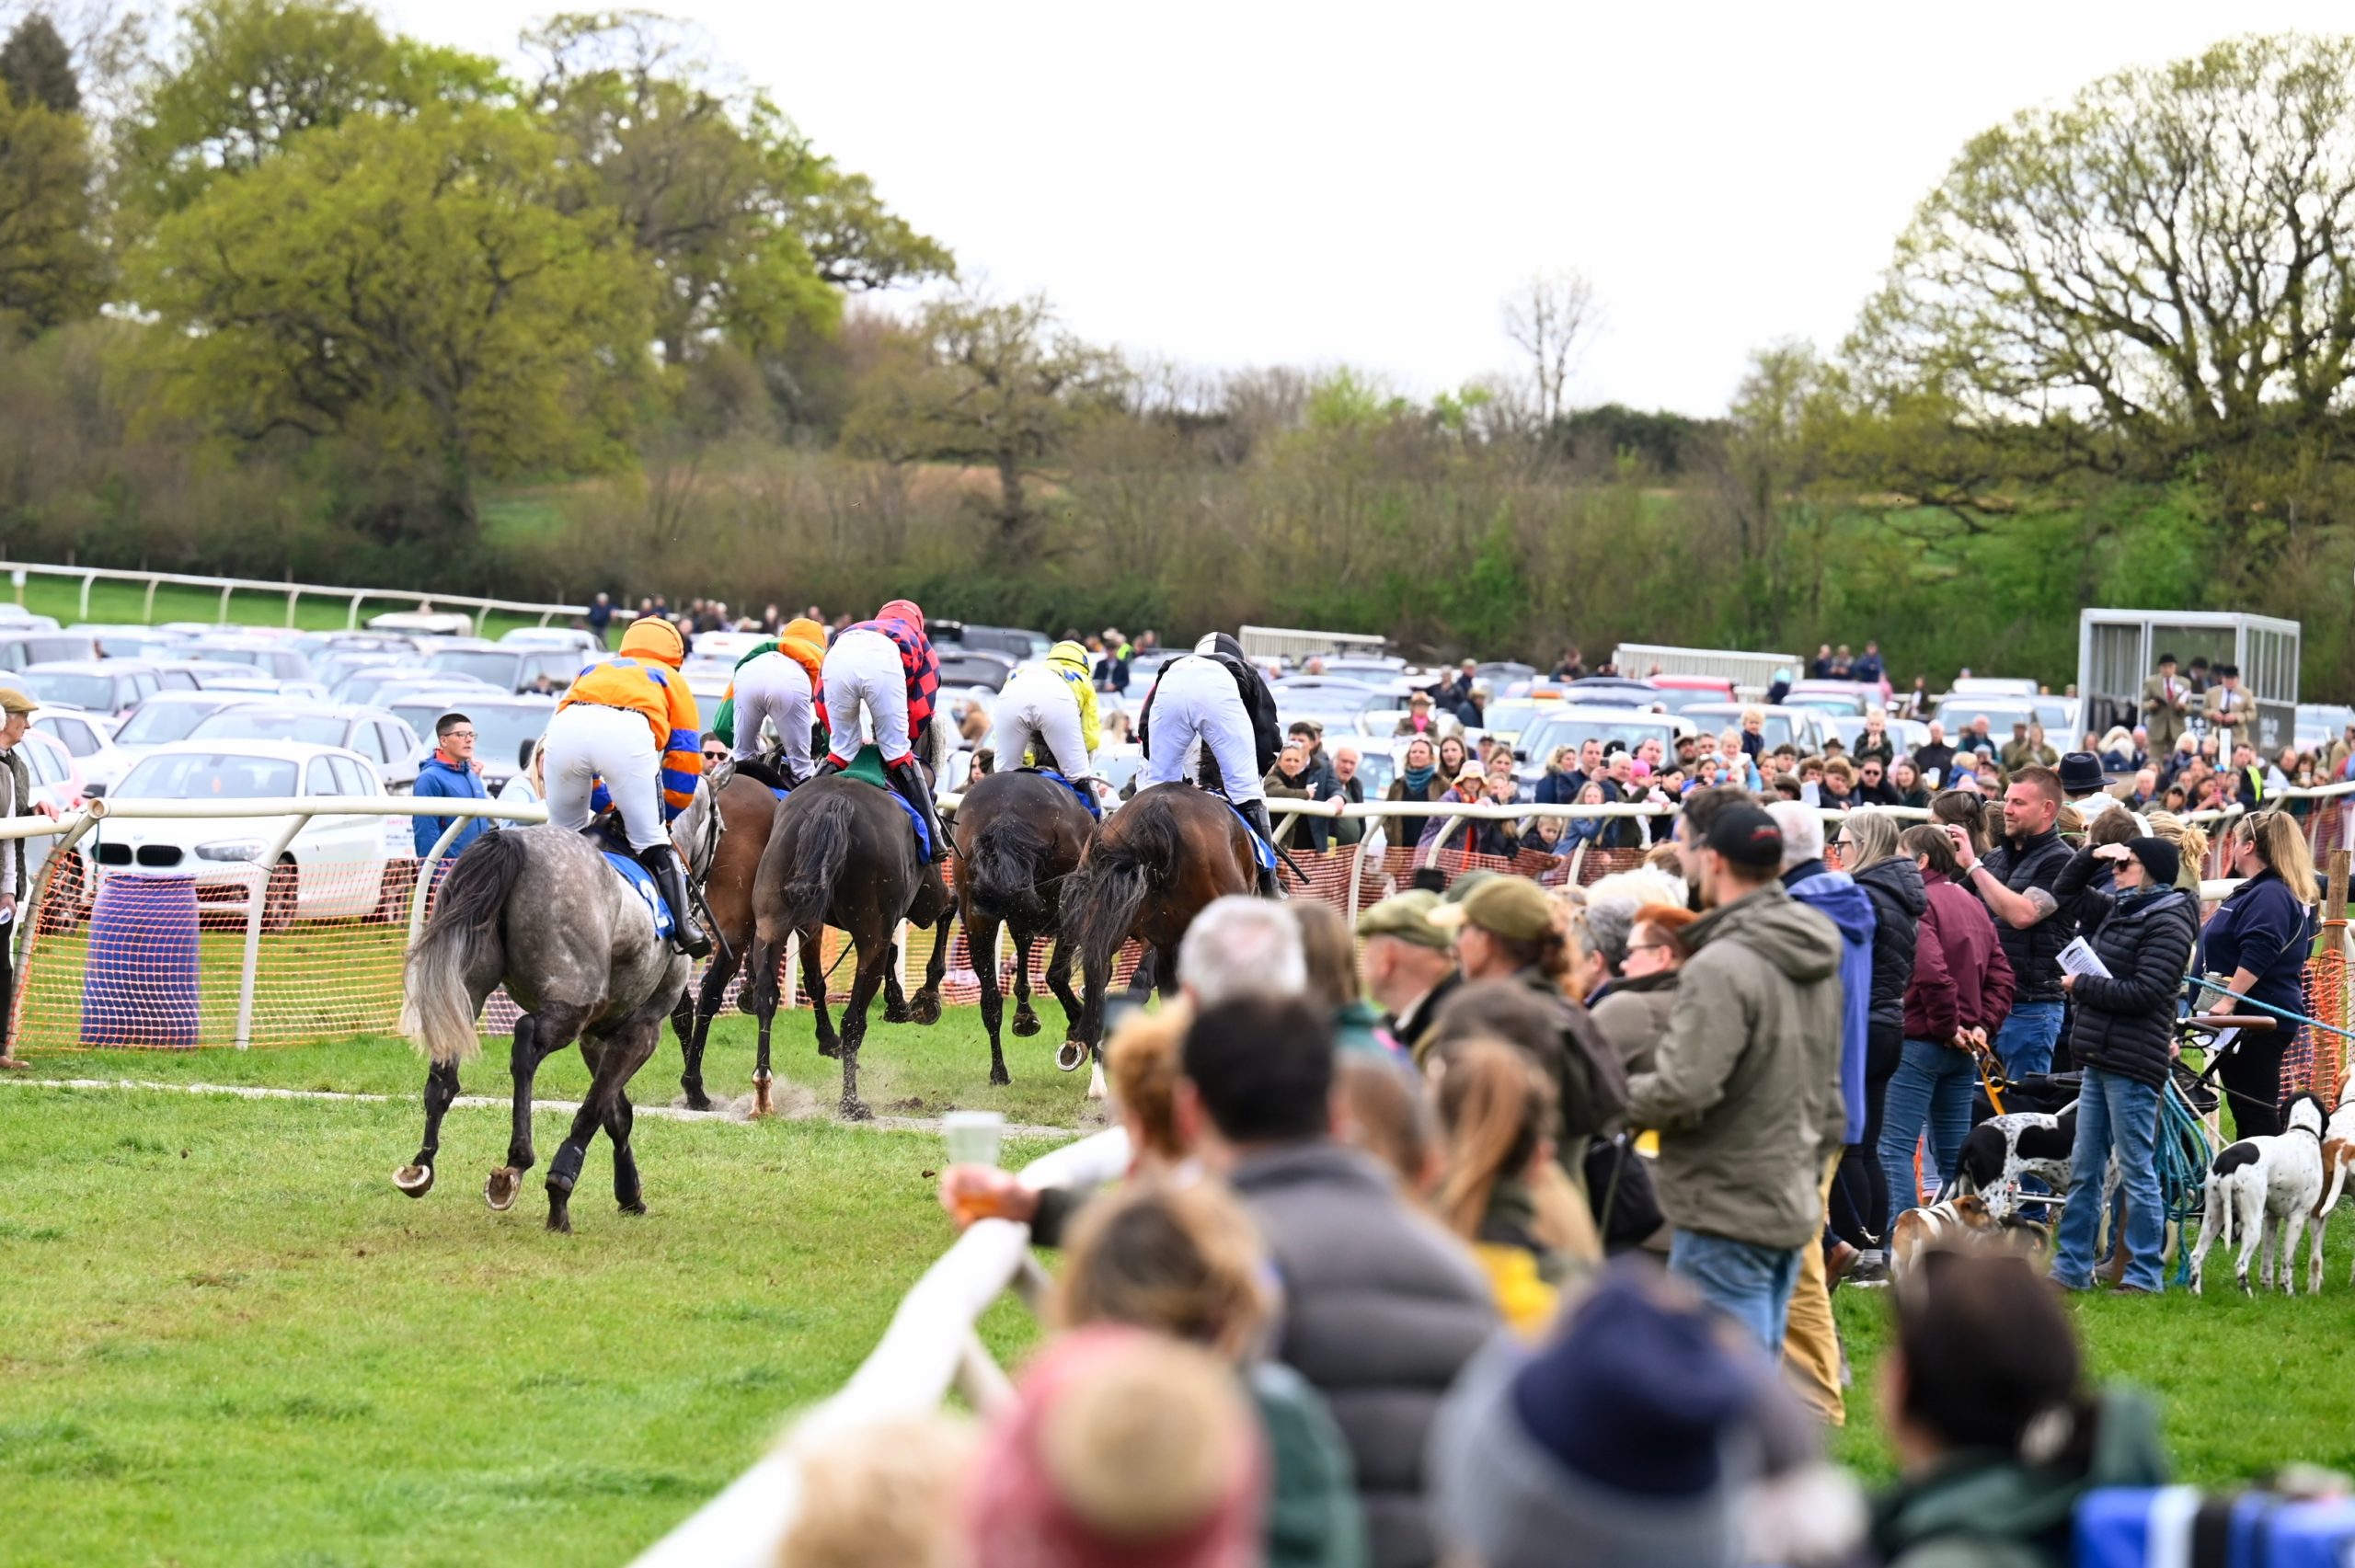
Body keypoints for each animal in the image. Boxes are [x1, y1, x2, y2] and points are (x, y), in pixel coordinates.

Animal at [394, 826, 692, 1233]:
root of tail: (510, 841)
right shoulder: (642, 1029)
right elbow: (596, 1109)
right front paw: (562, 1190)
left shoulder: (595, 1035)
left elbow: (616, 1115)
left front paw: (629, 1193)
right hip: (569, 1005)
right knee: (526, 1040)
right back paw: (517, 1161)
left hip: (464, 987)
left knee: (445, 1069)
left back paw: (423, 1163)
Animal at [745, 763, 953, 1121]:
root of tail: (835, 803)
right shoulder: (926, 899)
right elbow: (948, 908)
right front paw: (924, 998)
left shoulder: (810, 922)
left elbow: (816, 980)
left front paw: (831, 1038)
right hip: (872, 929)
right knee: (854, 1020)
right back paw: (850, 1103)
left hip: (771, 918)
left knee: (767, 996)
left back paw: (763, 1092)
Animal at [951, 769, 1098, 1085]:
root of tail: (1006, 813)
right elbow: (1054, 972)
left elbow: (1022, 947)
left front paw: (1024, 1014)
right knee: (1055, 975)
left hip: (978, 918)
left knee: (990, 999)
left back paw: (999, 1072)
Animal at [2192, 1092, 2329, 1296]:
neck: (2302, 1131)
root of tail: (2229, 1163)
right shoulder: (2297, 1218)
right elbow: (2287, 1262)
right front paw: (2289, 1292)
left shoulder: (2271, 1218)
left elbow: (2267, 1259)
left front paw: (2268, 1287)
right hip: (2252, 1224)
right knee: (2240, 1264)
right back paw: (2248, 1295)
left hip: (2213, 1217)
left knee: (2196, 1256)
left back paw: (2196, 1292)